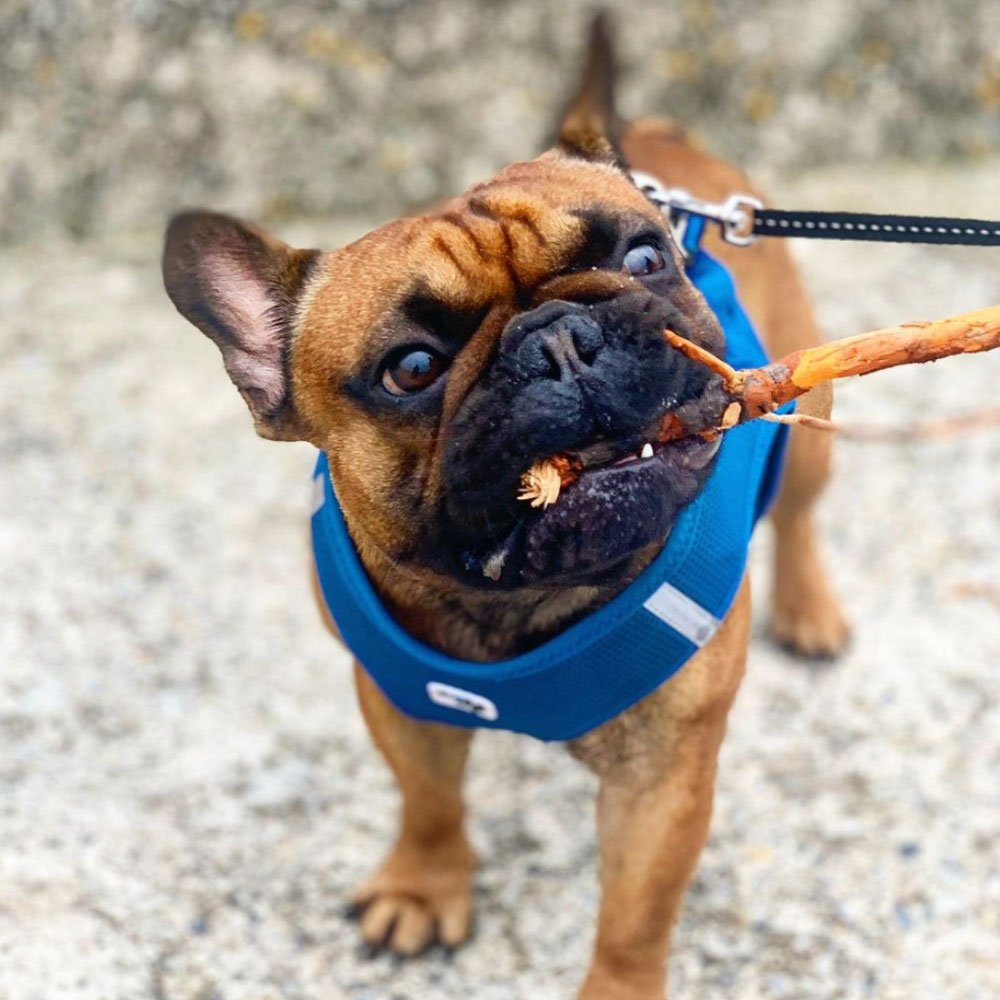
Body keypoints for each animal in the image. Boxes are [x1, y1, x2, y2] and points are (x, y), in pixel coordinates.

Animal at [160, 15, 848, 1000]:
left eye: (645, 258)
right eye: (411, 369)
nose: (558, 339)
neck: (515, 605)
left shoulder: (663, 779)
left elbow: (635, 918)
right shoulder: (401, 704)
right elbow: (429, 801)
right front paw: (423, 886)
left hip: (809, 422)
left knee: (797, 513)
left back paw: (811, 607)